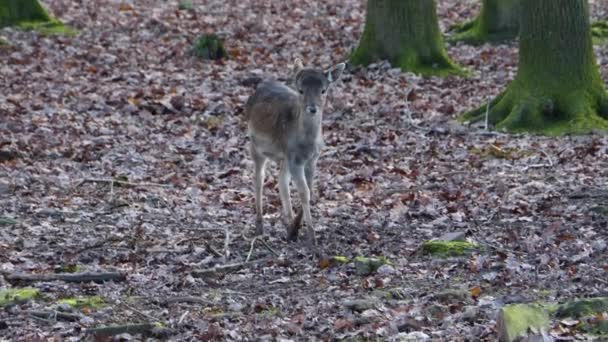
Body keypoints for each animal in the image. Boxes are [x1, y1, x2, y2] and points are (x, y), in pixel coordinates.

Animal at [243, 58, 346, 251]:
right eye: (301, 90)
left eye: (323, 90)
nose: (312, 108)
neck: (306, 145)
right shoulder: (295, 159)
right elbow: (304, 192)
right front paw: (312, 237)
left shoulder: (312, 159)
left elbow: (309, 190)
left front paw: (295, 230)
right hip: (255, 145)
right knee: (259, 179)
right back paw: (260, 226)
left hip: (284, 157)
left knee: (281, 180)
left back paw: (288, 224)